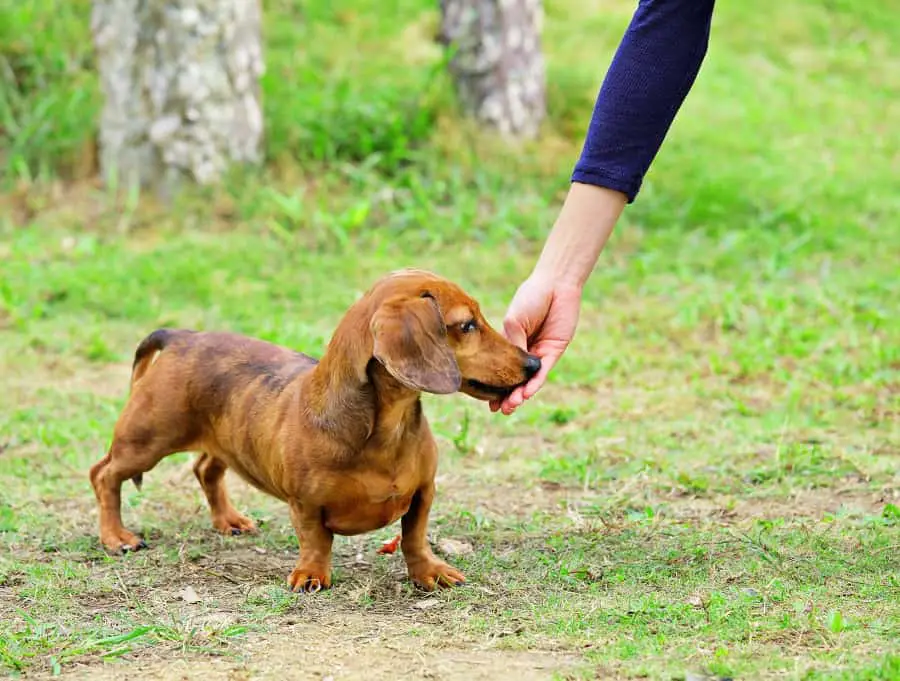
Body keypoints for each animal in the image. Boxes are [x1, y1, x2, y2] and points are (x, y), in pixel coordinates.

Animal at [89, 270, 540, 588]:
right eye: (467, 325)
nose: (534, 363)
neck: (385, 430)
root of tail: (182, 336)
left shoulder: (423, 493)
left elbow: (415, 536)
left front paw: (430, 572)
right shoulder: (304, 503)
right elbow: (315, 539)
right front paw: (311, 574)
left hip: (221, 441)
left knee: (205, 469)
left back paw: (229, 520)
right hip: (146, 440)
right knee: (103, 474)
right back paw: (116, 536)